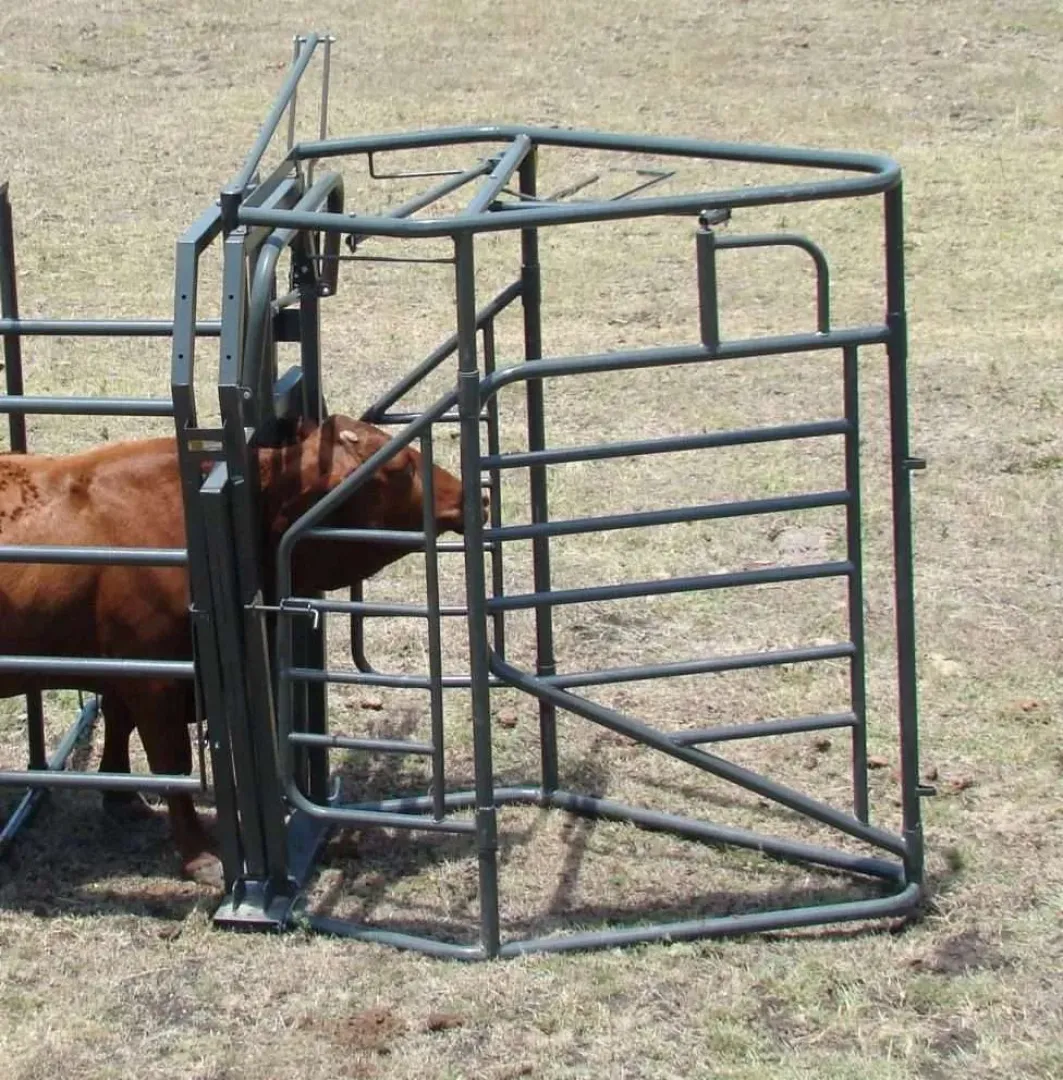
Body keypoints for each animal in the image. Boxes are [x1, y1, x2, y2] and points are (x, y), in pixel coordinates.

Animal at [0, 414, 475, 886]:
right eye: (398, 468)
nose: (475, 497)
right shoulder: (157, 679)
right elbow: (172, 762)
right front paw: (199, 855)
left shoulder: (127, 668)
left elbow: (120, 723)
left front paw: (122, 798)